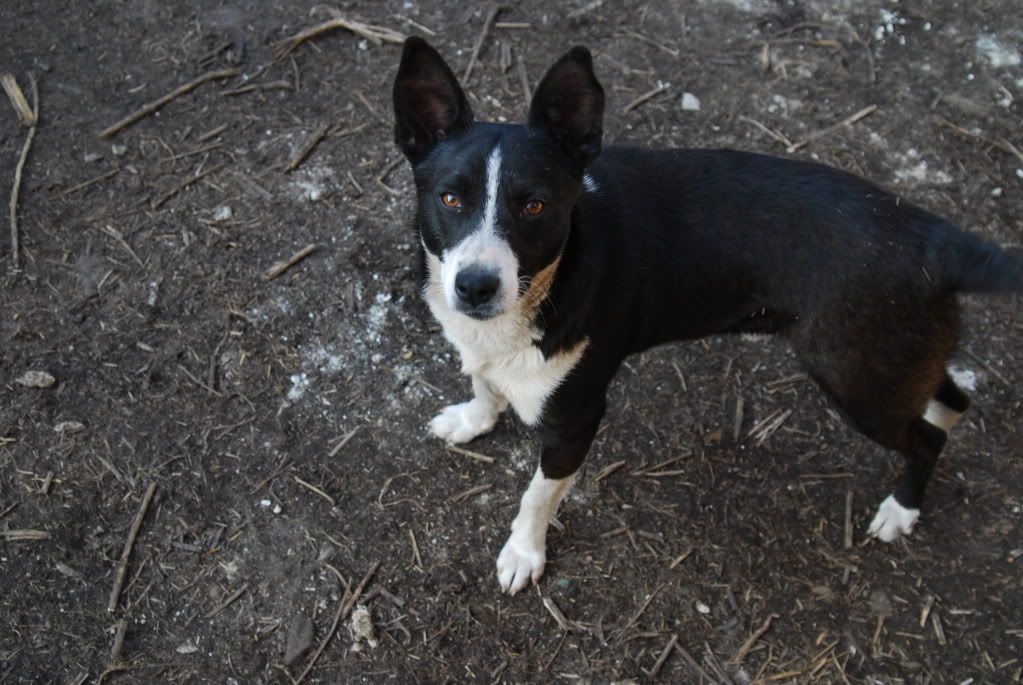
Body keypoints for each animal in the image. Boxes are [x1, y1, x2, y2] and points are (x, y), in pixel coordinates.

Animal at [386, 37, 1018, 597]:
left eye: (534, 205)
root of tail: (930, 234)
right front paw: (473, 419)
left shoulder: (576, 420)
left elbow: (537, 495)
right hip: (892, 358)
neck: (551, 277)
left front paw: (523, 553)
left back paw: (902, 508)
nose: (475, 287)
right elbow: (483, 382)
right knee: (952, 398)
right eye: (449, 198)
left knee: (927, 439)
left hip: (856, 381)